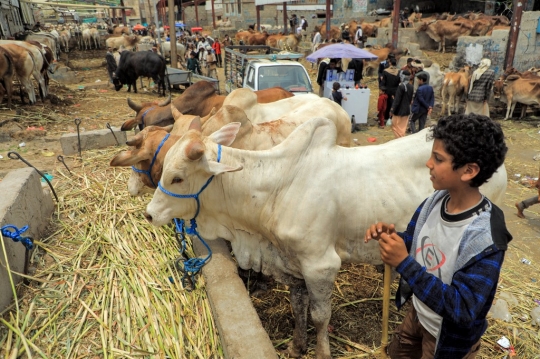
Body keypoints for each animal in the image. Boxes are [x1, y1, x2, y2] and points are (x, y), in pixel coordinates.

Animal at [143, 119, 506, 359]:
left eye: (177, 177)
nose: (149, 214)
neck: (275, 188)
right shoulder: (293, 263)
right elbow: (298, 306)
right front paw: (296, 346)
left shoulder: (321, 265)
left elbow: (320, 316)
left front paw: (321, 353)